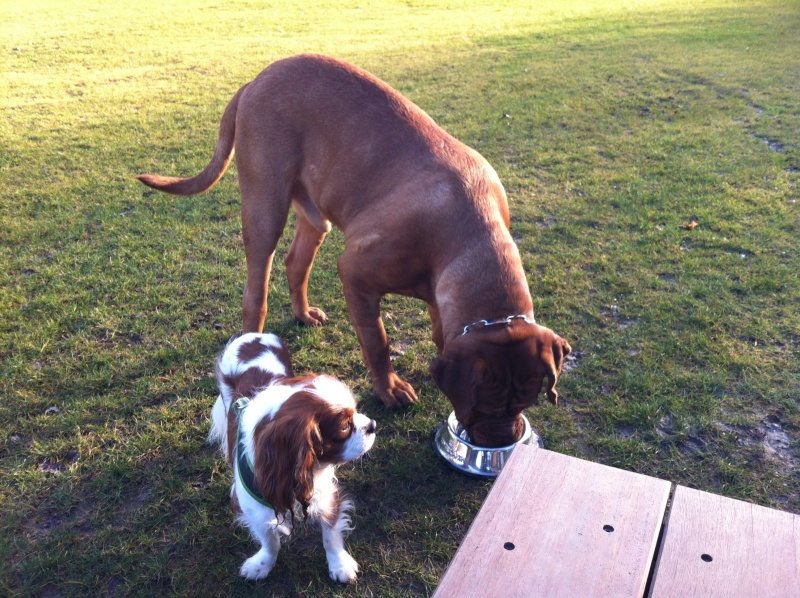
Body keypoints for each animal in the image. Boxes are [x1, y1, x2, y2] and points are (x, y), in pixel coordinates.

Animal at [141, 55, 572, 450]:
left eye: (528, 399)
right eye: (484, 402)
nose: (505, 439)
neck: (469, 235)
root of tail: (255, 80)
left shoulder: (441, 298)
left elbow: (438, 331)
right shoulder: (356, 274)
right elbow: (377, 341)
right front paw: (390, 388)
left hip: (315, 215)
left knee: (296, 263)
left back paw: (303, 314)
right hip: (265, 209)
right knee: (256, 287)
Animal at [209, 330, 378, 584]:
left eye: (357, 412)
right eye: (344, 427)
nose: (372, 425)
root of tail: (253, 335)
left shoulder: (326, 494)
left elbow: (330, 534)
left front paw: (339, 564)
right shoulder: (256, 511)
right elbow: (269, 541)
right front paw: (262, 564)